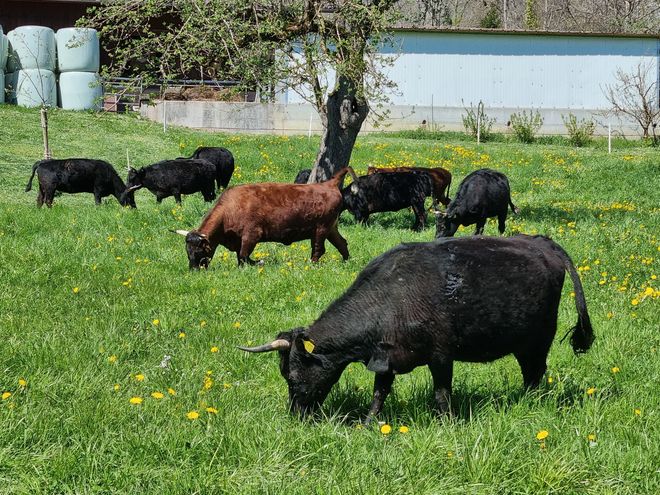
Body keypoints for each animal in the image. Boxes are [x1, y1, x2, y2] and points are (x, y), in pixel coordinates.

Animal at [174, 168, 353, 269]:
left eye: (199, 250)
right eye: (187, 251)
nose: (194, 270)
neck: (230, 209)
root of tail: (328, 184)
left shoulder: (251, 236)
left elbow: (244, 256)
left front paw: (259, 262)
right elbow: (240, 257)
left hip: (321, 229)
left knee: (318, 249)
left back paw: (312, 265)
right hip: (330, 229)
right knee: (342, 243)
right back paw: (346, 263)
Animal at [239, 235, 595, 423]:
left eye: (293, 375)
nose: (296, 416)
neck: (390, 298)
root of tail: (539, 241)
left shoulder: (441, 355)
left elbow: (442, 394)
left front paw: (448, 424)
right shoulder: (386, 357)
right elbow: (379, 393)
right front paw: (368, 423)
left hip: (538, 340)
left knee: (535, 372)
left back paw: (530, 402)